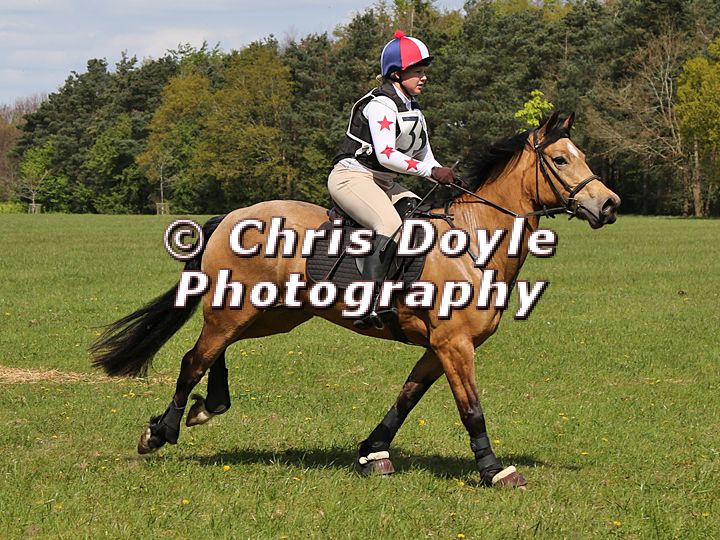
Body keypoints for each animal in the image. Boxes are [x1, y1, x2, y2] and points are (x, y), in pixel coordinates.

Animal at [91, 112, 620, 488]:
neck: (474, 242)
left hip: (271, 313)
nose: (610, 205)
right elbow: (471, 408)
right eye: (561, 160)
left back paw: (206, 407)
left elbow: (406, 399)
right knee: (193, 359)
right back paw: (161, 432)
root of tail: (234, 215)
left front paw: (372, 451)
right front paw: (495, 470)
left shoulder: (438, 349)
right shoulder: (454, 346)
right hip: (238, 309)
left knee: (213, 352)